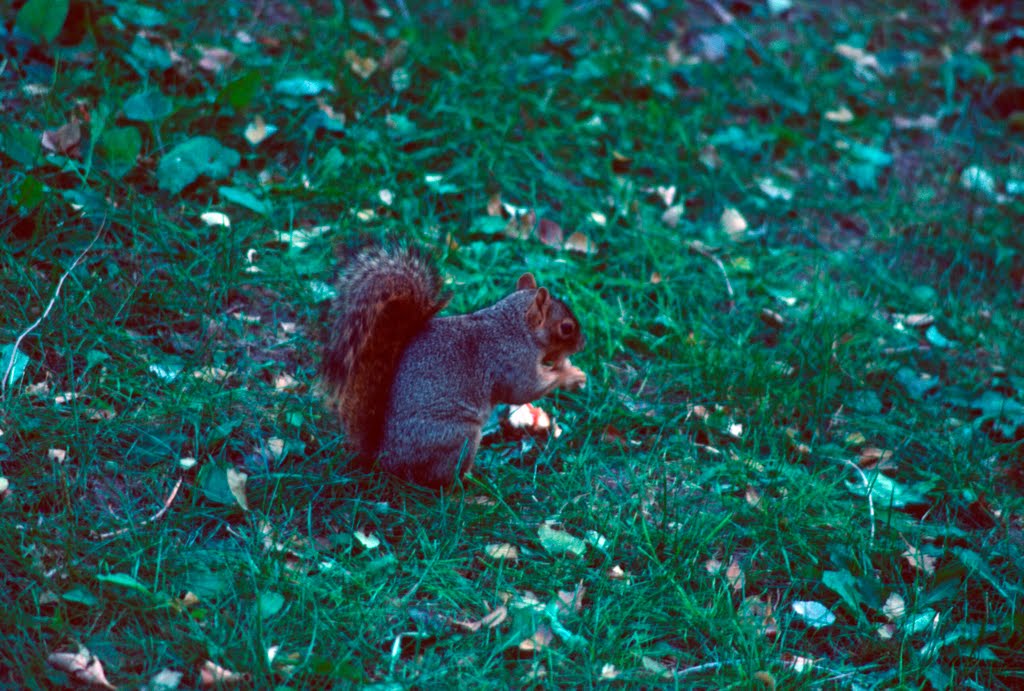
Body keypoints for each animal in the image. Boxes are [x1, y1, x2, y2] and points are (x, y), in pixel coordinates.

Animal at [323, 247, 589, 487]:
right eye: (566, 328)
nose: (583, 343)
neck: (516, 327)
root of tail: (384, 459)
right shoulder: (512, 362)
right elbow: (524, 390)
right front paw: (570, 374)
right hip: (459, 437)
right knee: (443, 480)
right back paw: (472, 484)